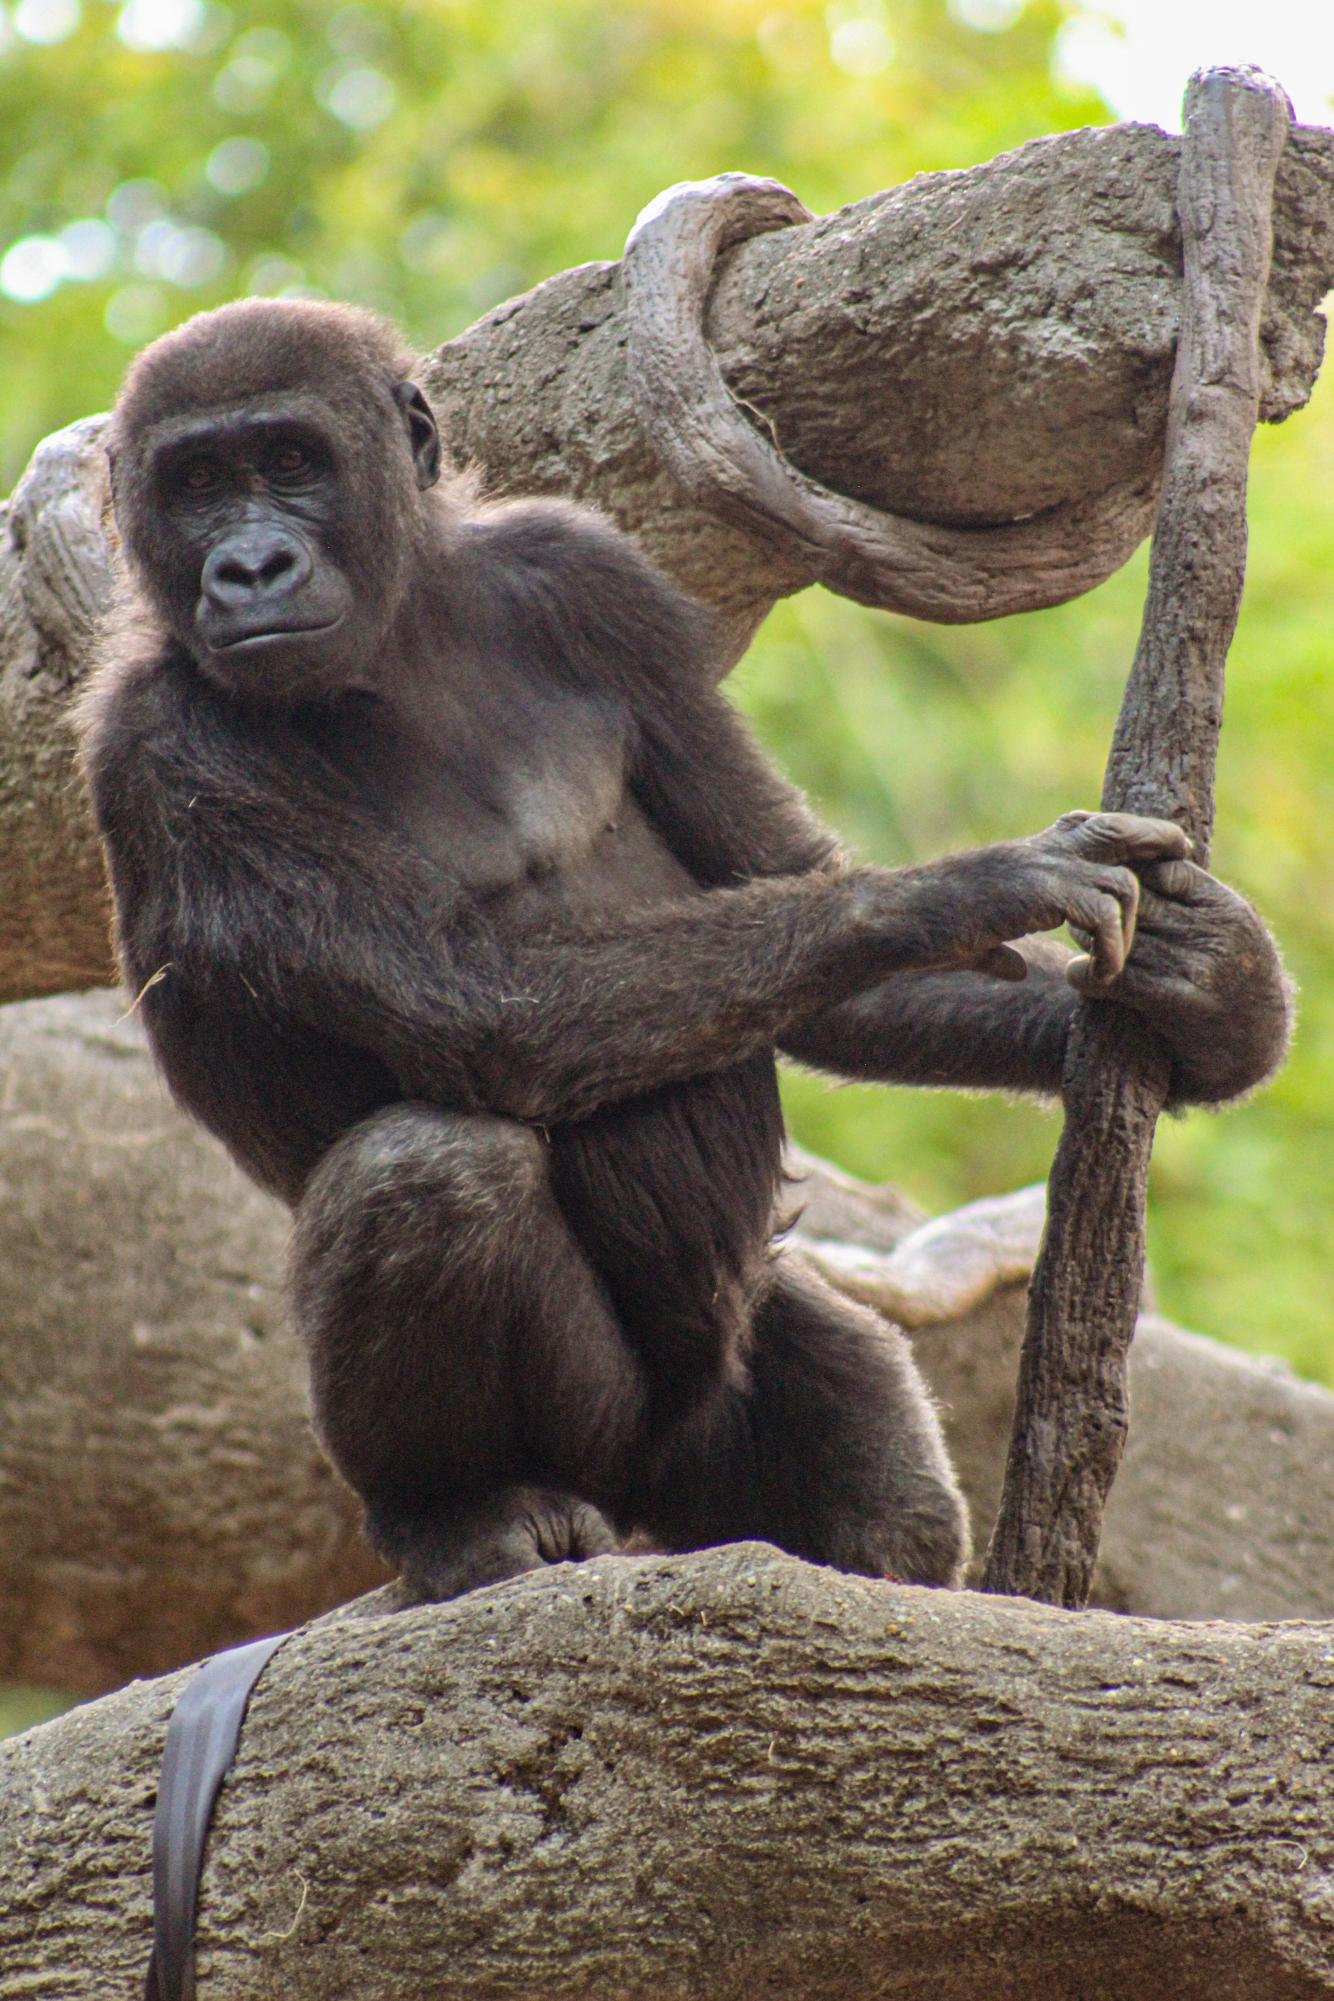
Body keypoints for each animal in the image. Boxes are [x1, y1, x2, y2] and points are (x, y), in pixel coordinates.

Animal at [75, 300, 1296, 1592]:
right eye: (196, 483)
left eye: (290, 461)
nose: (249, 566)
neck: (400, 636)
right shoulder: (159, 747)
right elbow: (483, 1003)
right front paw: (966, 887)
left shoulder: (591, 579)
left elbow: (783, 891)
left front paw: (1214, 1000)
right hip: (600, 1436)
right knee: (427, 1170)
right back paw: (455, 1511)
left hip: (739, 1387)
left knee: (879, 1491)